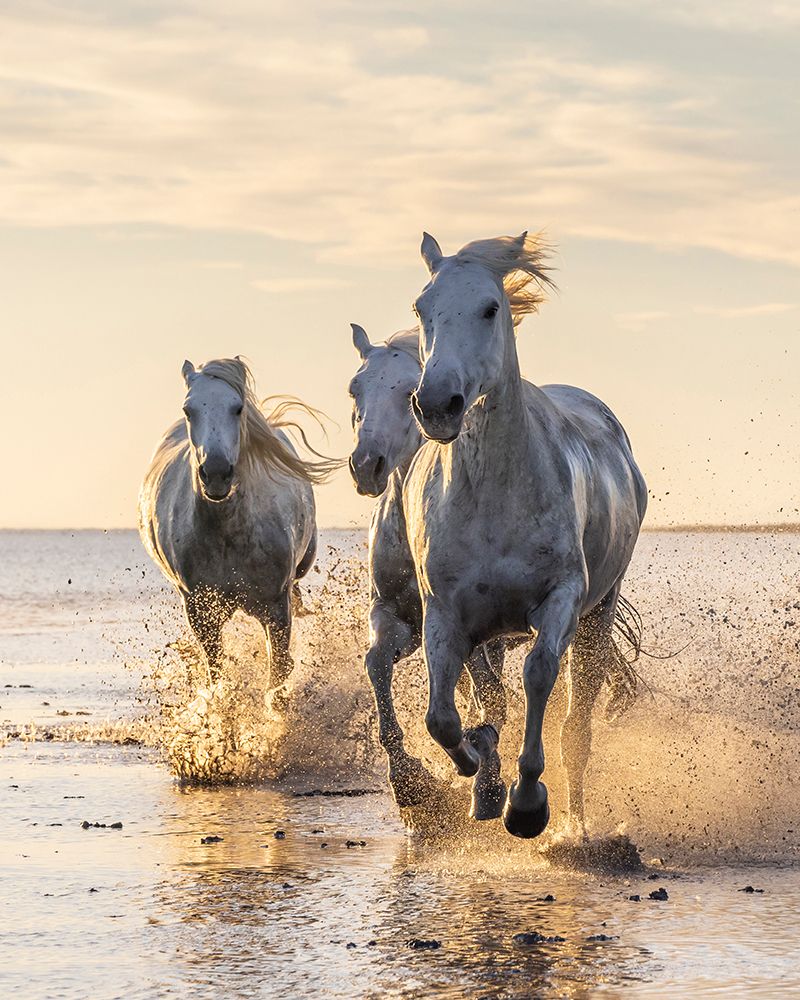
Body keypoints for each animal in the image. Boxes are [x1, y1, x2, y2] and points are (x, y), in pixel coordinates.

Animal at [138, 357, 337, 699]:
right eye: (188, 409)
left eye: (238, 407)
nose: (216, 473)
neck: (227, 535)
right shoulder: (201, 611)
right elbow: (218, 674)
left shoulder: (276, 606)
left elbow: (278, 672)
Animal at [348, 324, 507, 815]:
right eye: (355, 389)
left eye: (408, 392)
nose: (367, 465)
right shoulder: (398, 618)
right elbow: (377, 663)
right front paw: (409, 780)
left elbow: (488, 693)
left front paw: (489, 785)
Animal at [403, 232, 648, 839]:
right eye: (421, 308)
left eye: (491, 308)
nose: (437, 404)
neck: (495, 497)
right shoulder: (444, 612)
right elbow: (443, 716)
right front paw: (476, 761)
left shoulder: (561, 599)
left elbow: (539, 677)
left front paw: (528, 801)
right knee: (486, 694)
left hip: (599, 613)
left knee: (577, 727)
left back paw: (574, 826)